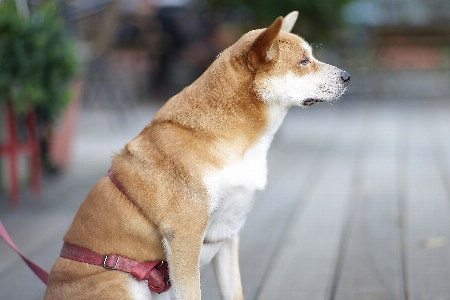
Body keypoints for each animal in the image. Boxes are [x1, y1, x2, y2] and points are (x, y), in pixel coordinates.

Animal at [44, 11, 350, 300]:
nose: (348, 76)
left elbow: (234, 291)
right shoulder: (185, 236)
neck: (238, 145)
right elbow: (192, 292)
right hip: (124, 283)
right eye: (303, 62)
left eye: (310, 57)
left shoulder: (228, 235)